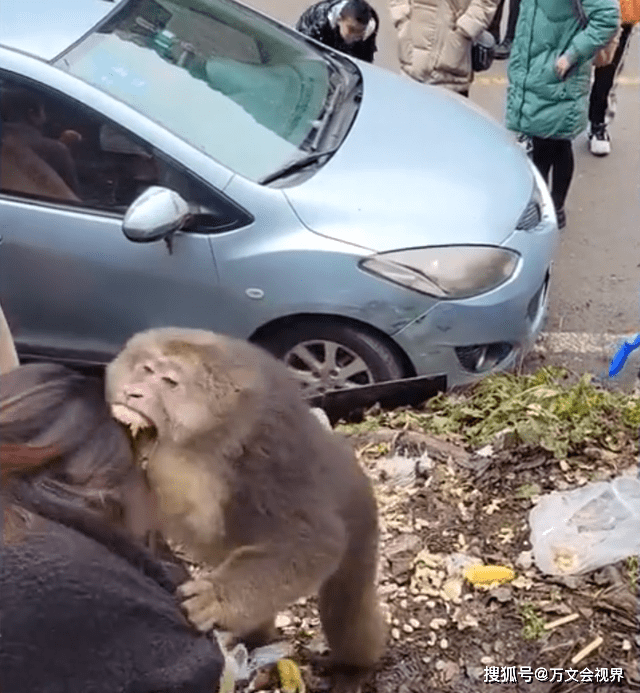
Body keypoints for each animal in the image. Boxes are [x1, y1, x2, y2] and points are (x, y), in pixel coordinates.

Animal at [105, 328, 384, 688]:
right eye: (146, 369)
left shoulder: (264, 458)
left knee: (345, 607)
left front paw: (214, 597)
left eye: (169, 381)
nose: (133, 392)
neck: (203, 441)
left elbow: (313, 539)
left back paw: (354, 666)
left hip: (360, 515)